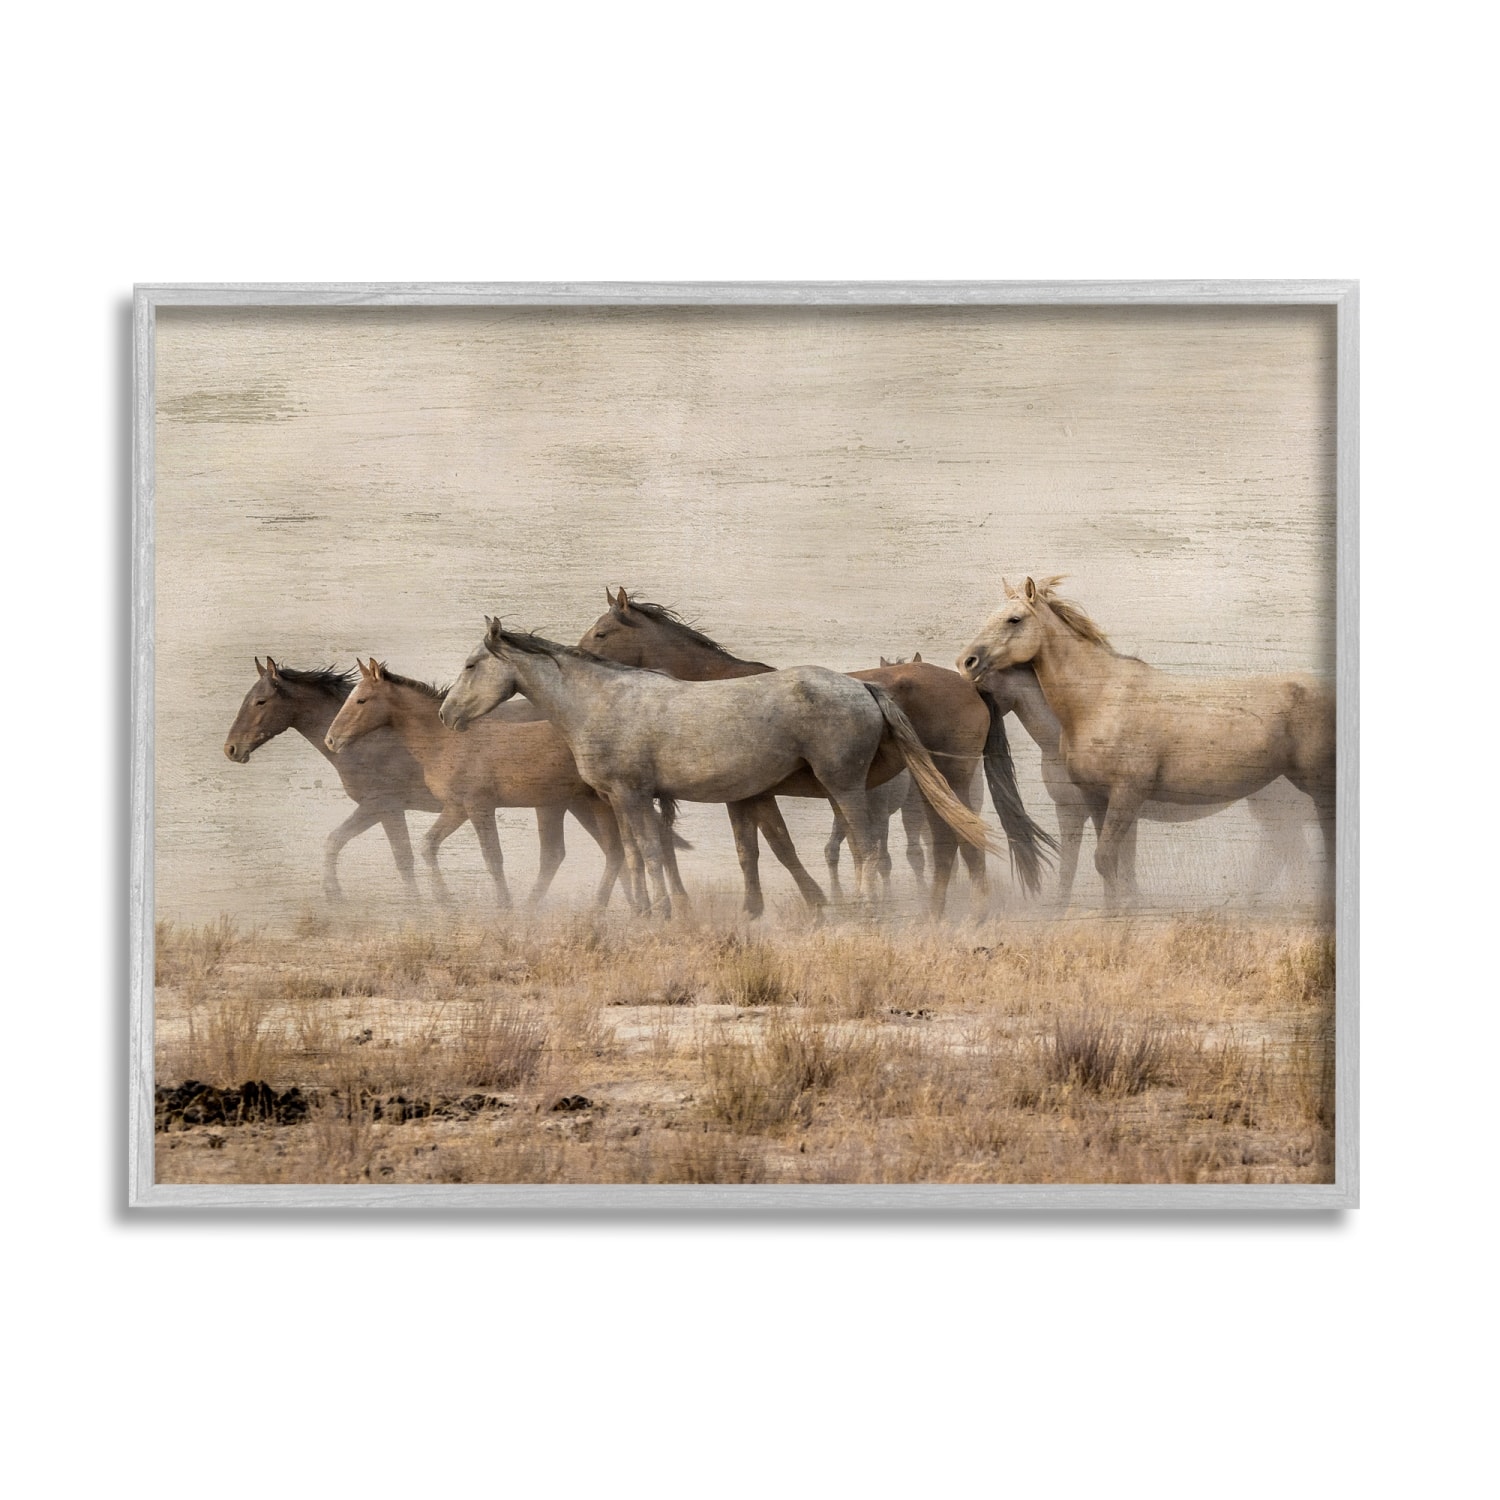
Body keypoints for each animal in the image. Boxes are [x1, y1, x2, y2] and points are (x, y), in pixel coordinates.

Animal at [323, 658, 637, 909]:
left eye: (361, 700)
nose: (331, 740)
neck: (445, 742)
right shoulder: (456, 808)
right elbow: (428, 845)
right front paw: (444, 902)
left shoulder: (478, 806)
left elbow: (492, 857)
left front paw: (504, 906)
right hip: (580, 803)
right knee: (612, 853)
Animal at [440, 619, 1006, 919]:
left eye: (470, 665)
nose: (446, 714)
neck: (604, 700)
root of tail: (865, 687)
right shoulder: (625, 800)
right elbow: (638, 854)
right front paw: (644, 912)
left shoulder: (632, 795)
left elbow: (650, 852)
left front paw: (663, 913)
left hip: (845, 787)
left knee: (871, 847)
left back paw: (868, 912)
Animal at [576, 591, 1054, 917]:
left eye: (602, 632)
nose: (577, 655)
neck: (716, 689)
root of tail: (969, 685)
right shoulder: (747, 796)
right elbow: (752, 851)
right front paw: (757, 909)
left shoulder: (751, 795)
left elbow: (778, 847)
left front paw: (810, 903)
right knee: (946, 842)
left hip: (949, 779)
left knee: (958, 840)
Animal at [958, 578, 1334, 907]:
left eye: (1014, 619)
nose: (966, 661)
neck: (1099, 700)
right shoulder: (1096, 800)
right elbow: (1108, 866)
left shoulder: (1126, 796)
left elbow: (1107, 863)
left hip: (1316, 791)